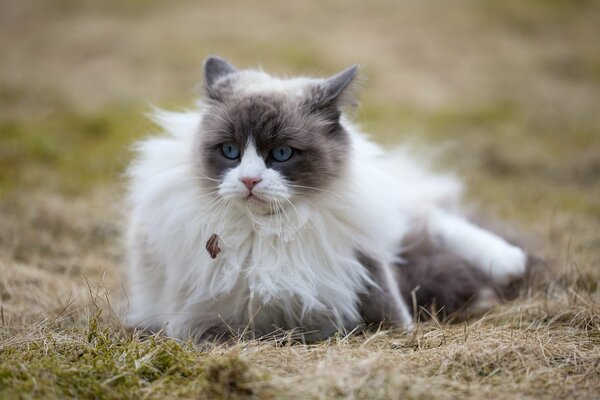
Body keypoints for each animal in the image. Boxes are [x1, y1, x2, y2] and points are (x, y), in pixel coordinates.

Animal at [124, 56, 528, 340]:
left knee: (431, 218)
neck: (270, 231)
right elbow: (214, 333)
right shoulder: (199, 318)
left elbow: (392, 310)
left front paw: (405, 331)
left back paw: (508, 263)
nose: (250, 180)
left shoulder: (363, 259)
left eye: (282, 154)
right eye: (229, 151)